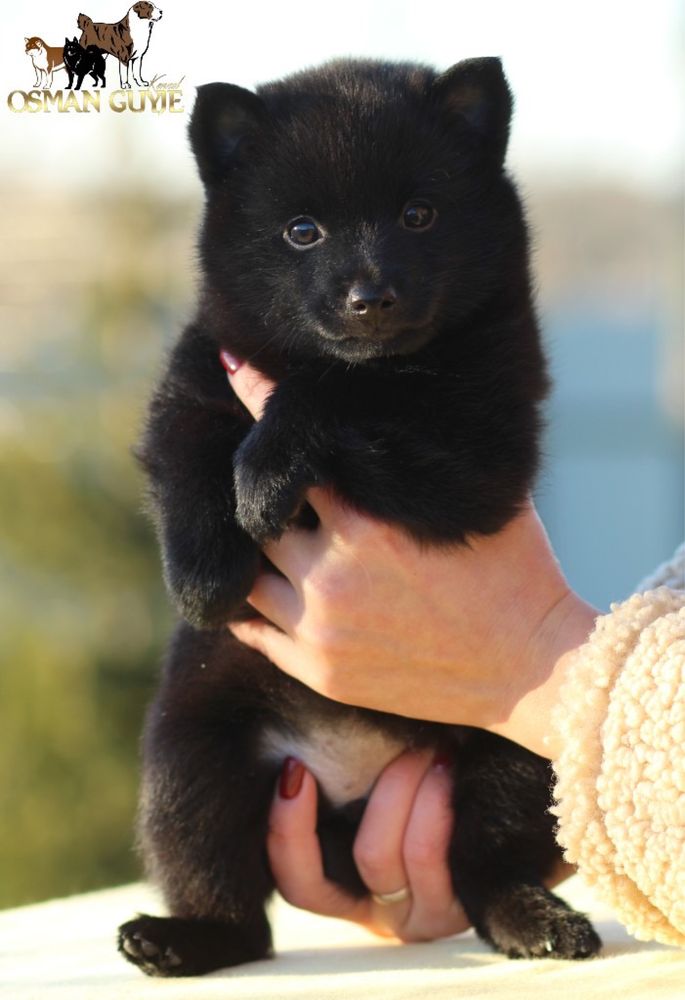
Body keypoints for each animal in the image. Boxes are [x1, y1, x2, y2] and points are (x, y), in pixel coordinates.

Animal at [117, 56, 600, 976]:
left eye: (418, 215)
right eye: (302, 231)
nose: (369, 297)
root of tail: (347, 788)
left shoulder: (476, 454)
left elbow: (334, 393)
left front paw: (266, 473)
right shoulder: (199, 378)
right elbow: (187, 459)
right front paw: (204, 579)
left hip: (519, 753)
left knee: (485, 864)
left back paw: (537, 921)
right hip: (191, 757)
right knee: (237, 907)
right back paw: (175, 938)